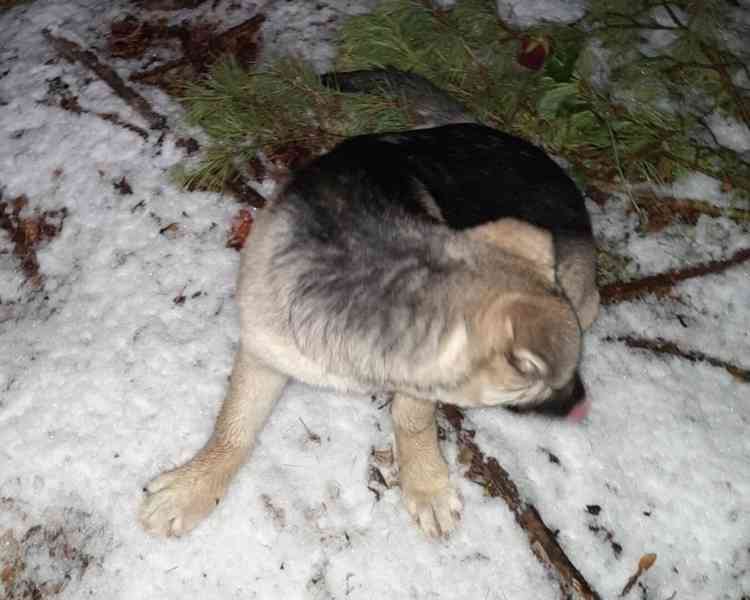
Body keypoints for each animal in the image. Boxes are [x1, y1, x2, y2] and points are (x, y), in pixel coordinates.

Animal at [140, 70, 600, 540]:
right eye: (545, 383)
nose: (584, 406)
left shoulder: (416, 384)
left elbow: (411, 419)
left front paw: (425, 483)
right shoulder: (263, 349)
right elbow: (234, 425)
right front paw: (196, 484)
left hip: (582, 292)